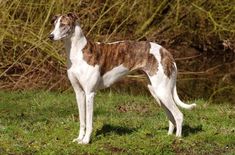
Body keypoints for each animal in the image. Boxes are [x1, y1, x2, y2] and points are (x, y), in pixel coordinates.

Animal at [48, 12, 196, 144]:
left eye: (63, 24)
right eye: (54, 24)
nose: (50, 36)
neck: (78, 52)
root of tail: (167, 52)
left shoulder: (90, 93)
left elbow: (89, 121)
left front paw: (86, 141)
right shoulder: (79, 93)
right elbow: (82, 120)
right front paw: (79, 138)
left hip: (162, 91)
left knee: (178, 115)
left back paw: (178, 138)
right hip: (157, 92)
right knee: (170, 115)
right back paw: (169, 136)